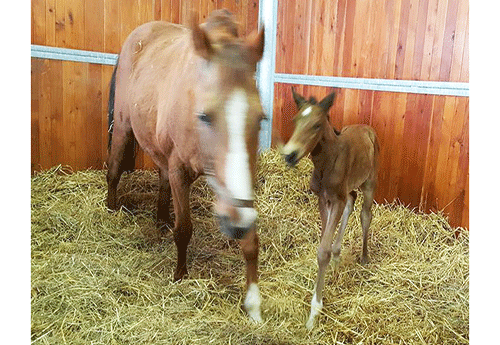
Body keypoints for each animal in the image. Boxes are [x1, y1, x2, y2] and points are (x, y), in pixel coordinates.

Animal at [107, 11, 266, 322]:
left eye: (261, 118)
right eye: (205, 116)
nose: (235, 223)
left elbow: (251, 242)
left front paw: (253, 303)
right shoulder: (180, 171)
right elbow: (184, 229)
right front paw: (180, 275)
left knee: (161, 178)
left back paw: (160, 219)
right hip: (122, 127)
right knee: (114, 169)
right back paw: (110, 207)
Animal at [282, 86, 378, 328]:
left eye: (317, 124)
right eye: (295, 120)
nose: (290, 155)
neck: (326, 163)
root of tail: (367, 128)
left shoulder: (336, 199)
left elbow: (322, 250)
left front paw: (315, 311)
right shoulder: (323, 198)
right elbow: (324, 241)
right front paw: (333, 259)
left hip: (370, 181)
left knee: (365, 214)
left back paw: (364, 257)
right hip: (348, 189)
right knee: (351, 201)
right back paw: (337, 256)